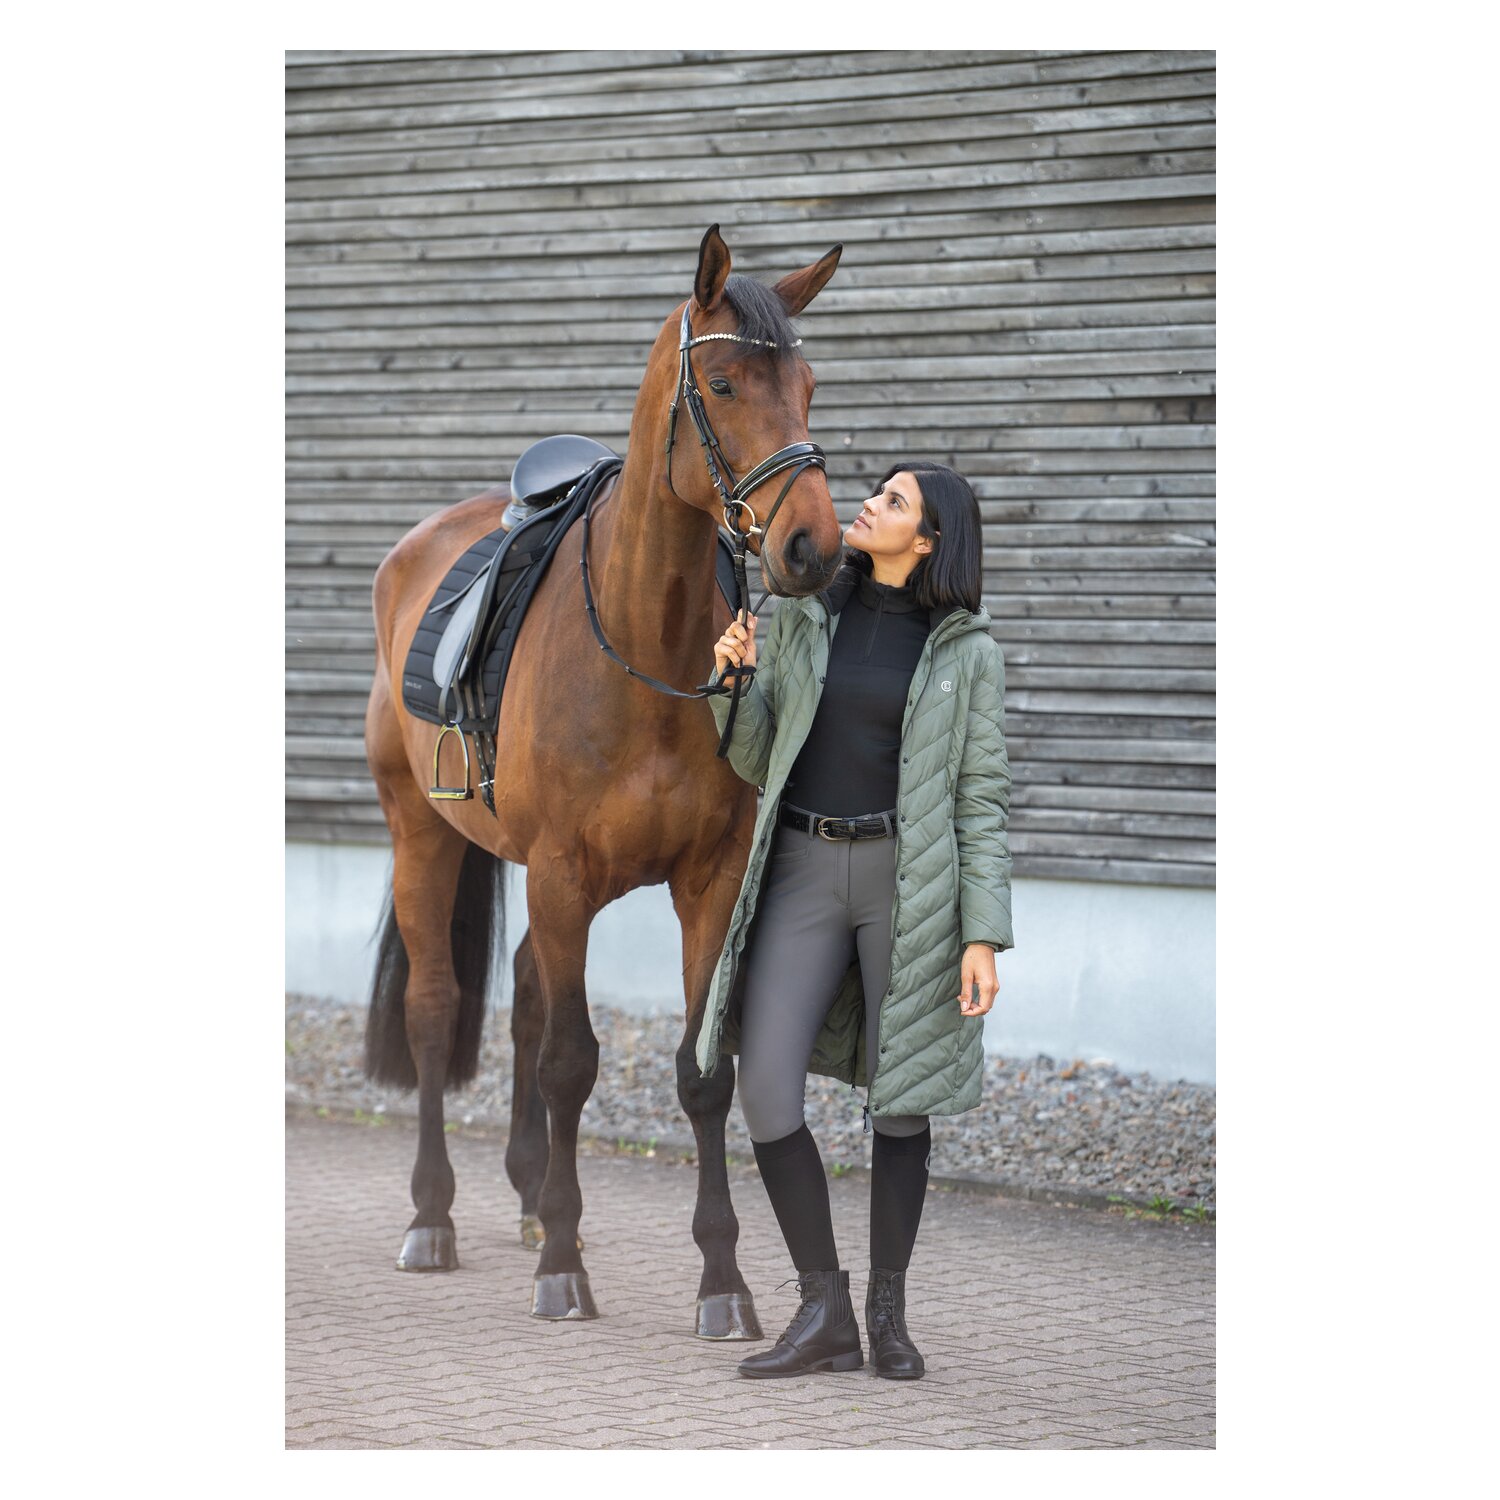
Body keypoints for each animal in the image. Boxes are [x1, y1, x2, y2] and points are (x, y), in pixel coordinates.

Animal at [361, 224, 845, 1335]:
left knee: (527, 994)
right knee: (439, 1008)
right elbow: (569, 1060)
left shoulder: (707, 882)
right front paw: (564, 1270)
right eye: (722, 381)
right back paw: (433, 1218)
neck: (641, 645)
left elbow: (700, 1072)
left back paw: (529, 1198)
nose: (815, 546)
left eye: (808, 383)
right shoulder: (562, 874)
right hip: (422, 833)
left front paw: (722, 1281)